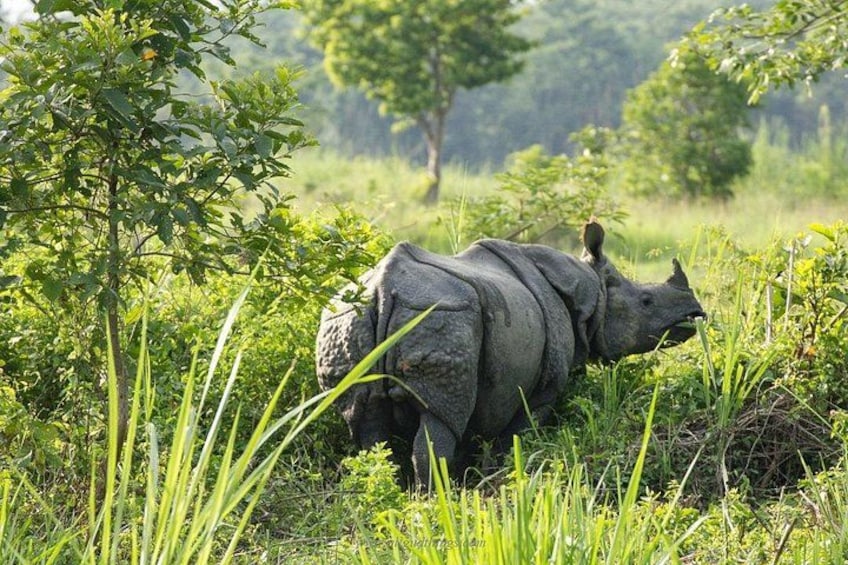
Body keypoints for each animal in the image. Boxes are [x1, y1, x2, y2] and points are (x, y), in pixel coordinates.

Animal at [315, 220, 705, 485]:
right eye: (646, 301)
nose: (695, 314)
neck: (592, 291)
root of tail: (383, 290)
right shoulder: (544, 387)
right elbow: (518, 434)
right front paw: (502, 477)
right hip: (444, 314)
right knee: (439, 421)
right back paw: (433, 502)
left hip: (345, 319)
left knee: (365, 424)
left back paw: (393, 493)